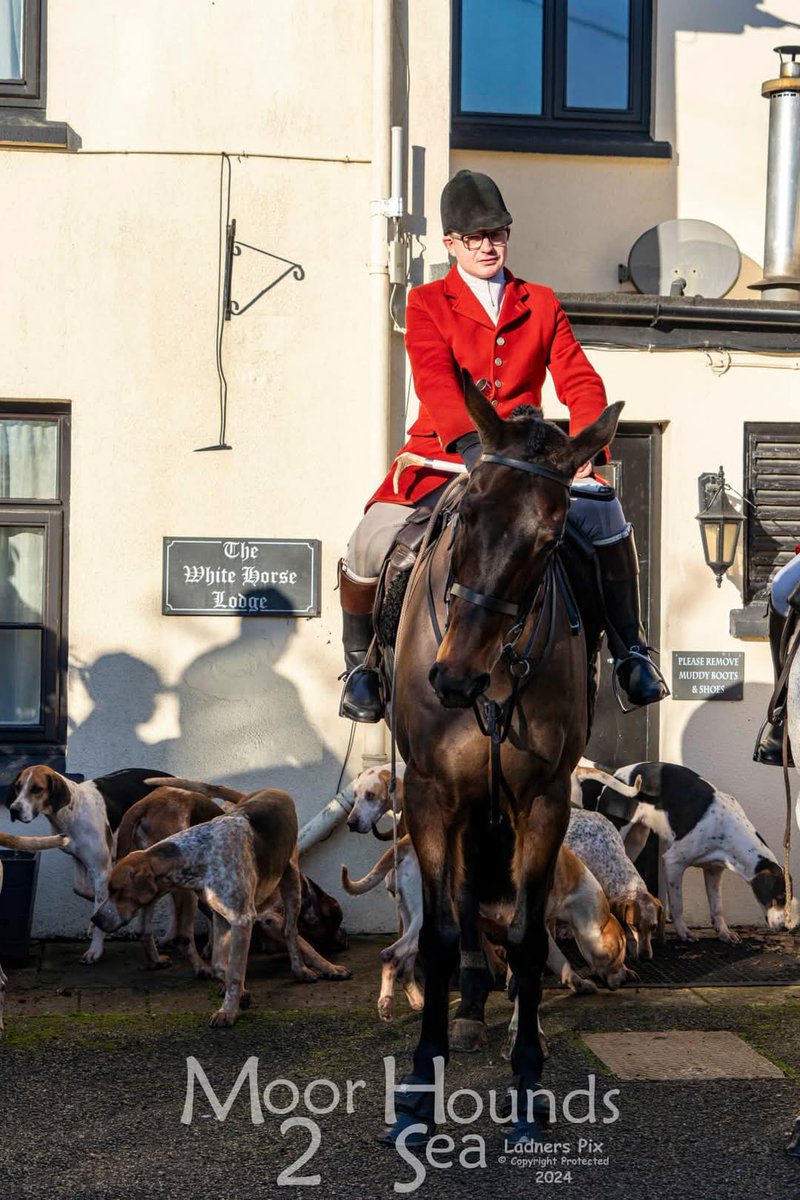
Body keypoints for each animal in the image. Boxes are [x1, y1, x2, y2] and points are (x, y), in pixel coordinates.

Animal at [381, 376, 623, 1146]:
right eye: (467, 514)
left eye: (550, 540)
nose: (453, 678)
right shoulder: (429, 796)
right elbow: (438, 934)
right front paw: (421, 1084)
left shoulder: (544, 801)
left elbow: (524, 935)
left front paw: (526, 1080)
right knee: (460, 910)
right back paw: (466, 1009)